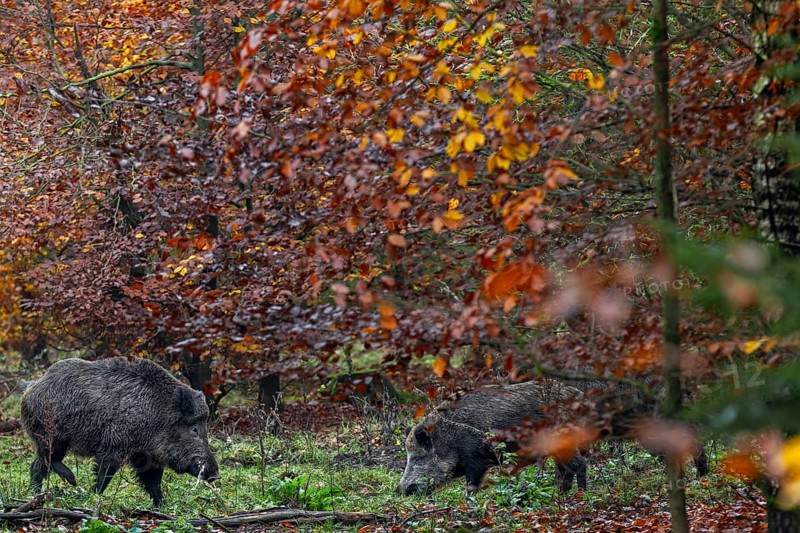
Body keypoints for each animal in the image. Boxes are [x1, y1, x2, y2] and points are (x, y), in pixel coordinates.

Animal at [21, 357, 219, 506]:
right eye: (194, 429)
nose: (215, 474)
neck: (156, 415)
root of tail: (30, 389)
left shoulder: (145, 456)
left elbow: (153, 482)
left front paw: (162, 506)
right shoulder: (112, 446)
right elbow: (104, 475)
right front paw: (93, 496)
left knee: (37, 466)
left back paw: (36, 496)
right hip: (51, 436)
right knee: (48, 459)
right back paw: (72, 480)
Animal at [398, 380, 586, 496]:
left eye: (418, 457)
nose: (400, 490)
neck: (448, 439)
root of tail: (581, 397)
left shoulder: (476, 458)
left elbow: (472, 484)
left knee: (579, 465)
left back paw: (580, 495)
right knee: (564, 470)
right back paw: (560, 494)